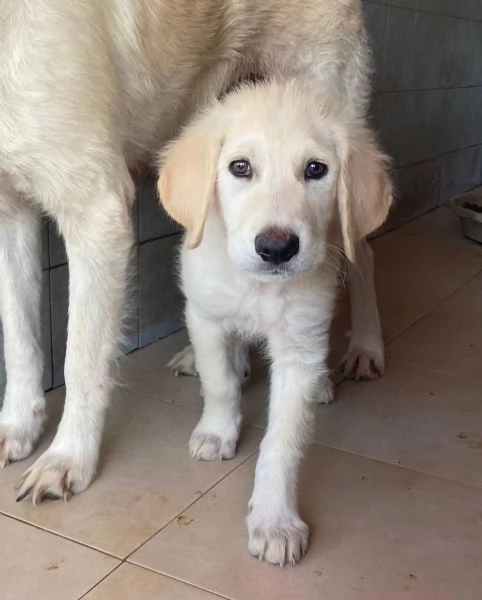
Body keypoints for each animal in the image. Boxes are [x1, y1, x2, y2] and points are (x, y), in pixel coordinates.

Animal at [0, 0, 388, 506]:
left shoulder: (97, 209)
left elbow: (81, 358)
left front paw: (68, 457)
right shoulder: (8, 210)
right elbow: (18, 338)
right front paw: (18, 426)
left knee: (361, 255)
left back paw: (361, 350)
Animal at [158, 81, 392, 568]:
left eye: (316, 169)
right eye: (240, 167)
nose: (276, 248)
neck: (260, 289)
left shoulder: (300, 347)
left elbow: (282, 442)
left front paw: (274, 522)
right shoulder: (206, 317)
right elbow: (219, 383)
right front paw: (217, 431)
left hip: (351, 241)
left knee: (365, 263)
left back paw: (362, 350)